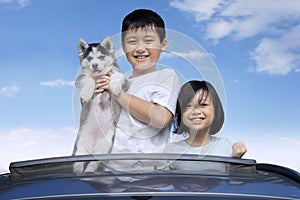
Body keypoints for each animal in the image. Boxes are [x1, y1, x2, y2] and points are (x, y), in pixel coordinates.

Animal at [73, 37, 126, 173]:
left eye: (101, 57)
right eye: (90, 58)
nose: (95, 65)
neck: (100, 76)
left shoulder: (123, 79)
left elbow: (117, 75)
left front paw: (114, 85)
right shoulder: (80, 78)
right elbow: (88, 79)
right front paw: (86, 93)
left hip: (105, 146)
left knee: (93, 163)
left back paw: (89, 170)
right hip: (81, 144)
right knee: (78, 160)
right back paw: (78, 170)